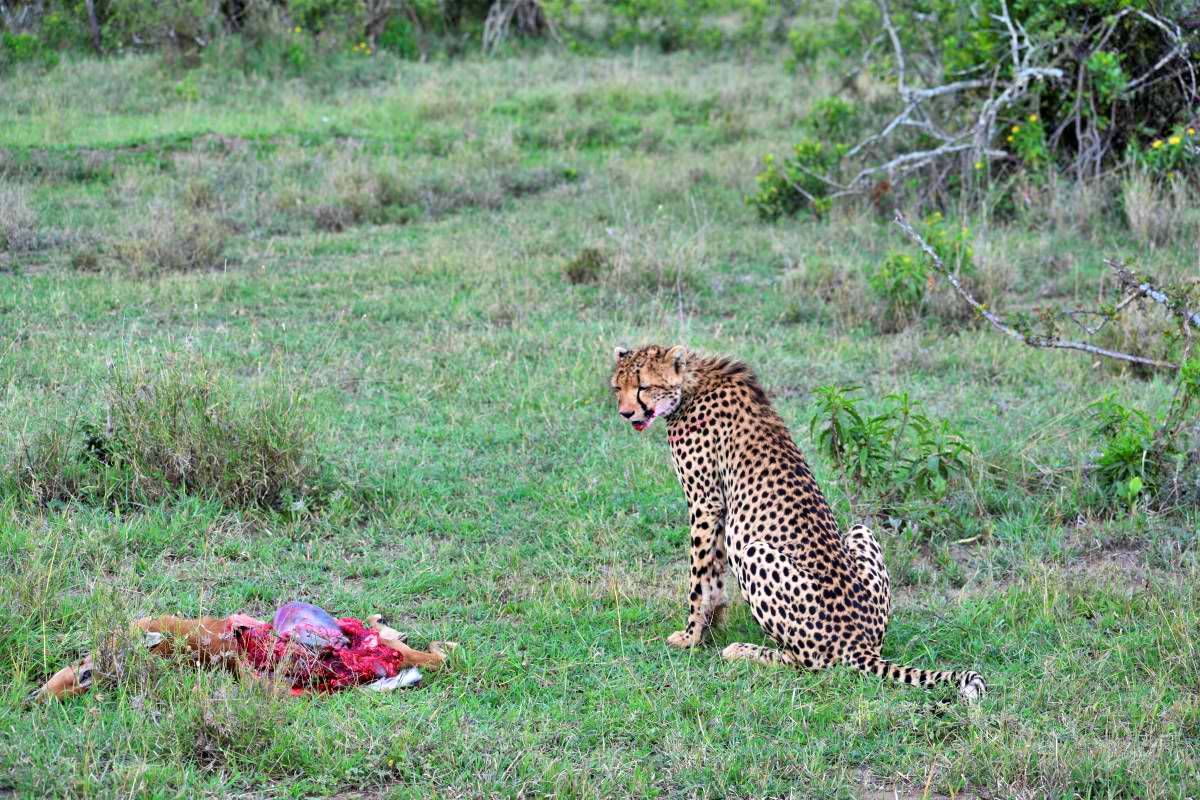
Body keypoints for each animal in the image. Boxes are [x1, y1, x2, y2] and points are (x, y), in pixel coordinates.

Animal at [609, 345, 984, 700]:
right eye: (617, 387)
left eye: (643, 386)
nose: (625, 413)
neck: (694, 383)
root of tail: (859, 642)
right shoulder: (719, 507)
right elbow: (713, 576)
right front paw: (712, 625)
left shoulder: (705, 501)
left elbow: (699, 578)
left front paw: (691, 637)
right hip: (861, 532)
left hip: (754, 552)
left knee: (811, 661)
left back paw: (744, 651)